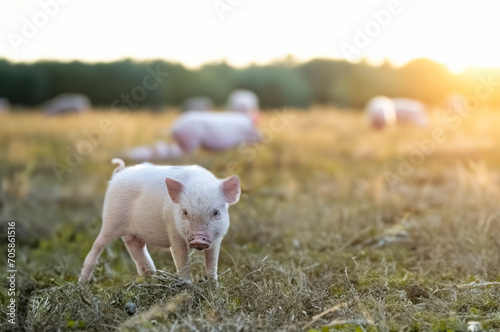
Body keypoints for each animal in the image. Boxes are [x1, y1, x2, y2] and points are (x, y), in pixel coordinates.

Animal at [79, 158, 241, 282]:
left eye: (215, 212)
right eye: (185, 212)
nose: (198, 239)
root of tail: (118, 175)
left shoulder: (217, 238)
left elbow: (212, 263)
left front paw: (213, 285)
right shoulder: (173, 230)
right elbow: (181, 259)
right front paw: (186, 284)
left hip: (132, 233)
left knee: (136, 248)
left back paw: (152, 277)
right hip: (111, 220)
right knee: (97, 245)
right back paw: (83, 282)